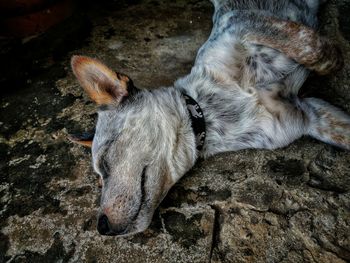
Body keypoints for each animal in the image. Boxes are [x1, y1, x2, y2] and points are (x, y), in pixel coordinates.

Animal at [68, 0, 348, 237]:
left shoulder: (243, 23)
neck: (205, 112)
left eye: (105, 160)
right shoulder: (308, 115)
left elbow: (311, 47)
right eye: (98, 175)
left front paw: (335, 60)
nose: (101, 227)